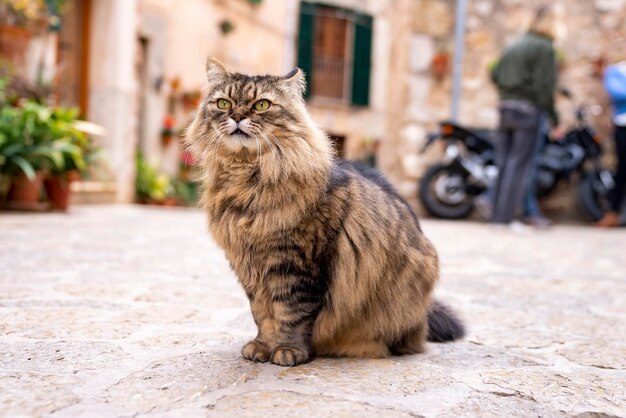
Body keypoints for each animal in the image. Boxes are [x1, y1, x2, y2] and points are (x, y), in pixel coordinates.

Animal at [185, 58, 464, 366]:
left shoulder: (295, 264)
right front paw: (262, 346)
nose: (236, 116)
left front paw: (289, 351)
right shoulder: (250, 267)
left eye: (261, 105)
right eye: (223, 103)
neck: (247, 180)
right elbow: (262, 314)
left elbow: (291, 314)